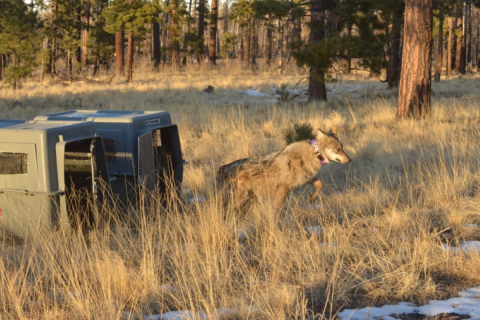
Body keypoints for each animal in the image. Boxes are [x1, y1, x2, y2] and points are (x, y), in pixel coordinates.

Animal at [217, 126, 348, 209]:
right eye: (338, 149)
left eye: (342, 148)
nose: (349, 160)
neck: (313, 154)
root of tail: (222, 168)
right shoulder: (283, 188)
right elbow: (277, 208)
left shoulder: (304, 179)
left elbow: (320, 184)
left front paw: (312, 197)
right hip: (239, 199)